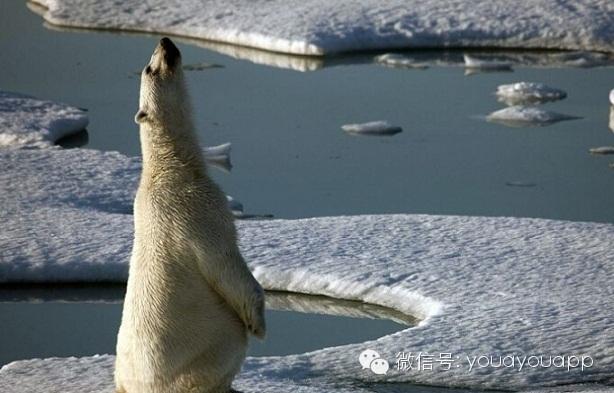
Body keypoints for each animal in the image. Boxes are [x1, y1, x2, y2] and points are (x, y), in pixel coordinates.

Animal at [115, 37, 268, 392]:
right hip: (203, 354)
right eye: (150, 67)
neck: (170, 168)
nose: (165, 41)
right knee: (229, 344)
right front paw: (259, 324)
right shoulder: (198, 209)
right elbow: (224, 262)